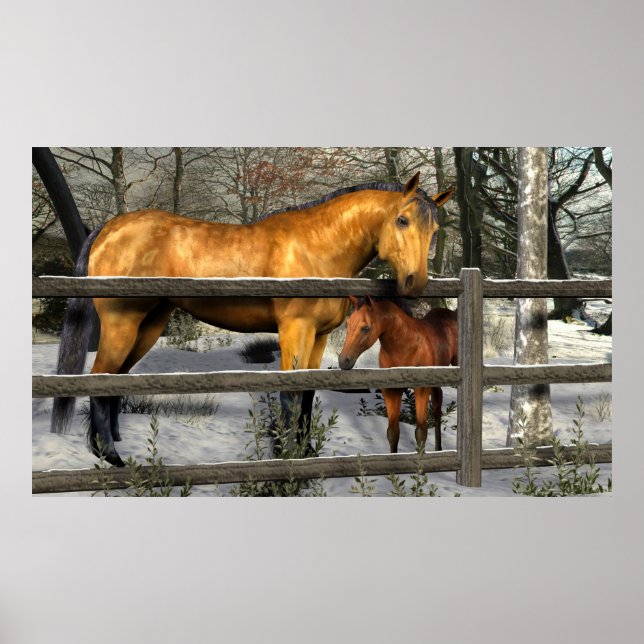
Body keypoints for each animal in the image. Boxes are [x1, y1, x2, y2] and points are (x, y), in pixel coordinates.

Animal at [338, 296, 458, 452]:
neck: (406, 346)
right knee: (438, 406)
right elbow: (393, 433)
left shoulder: (421, 389)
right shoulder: (391, 390)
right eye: (348, 324)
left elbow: (421, 432)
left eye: (365, 328)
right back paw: (438, 449)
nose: (343, 361)